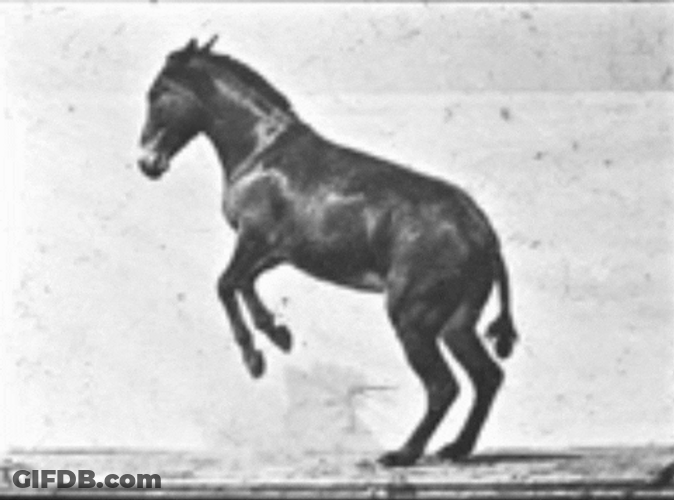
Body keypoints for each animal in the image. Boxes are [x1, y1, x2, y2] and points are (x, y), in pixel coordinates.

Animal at [137, 37, 519, 467]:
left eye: (158, 93)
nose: (147, 163)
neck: (261, 152)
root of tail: (482, 232)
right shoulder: (273, 252)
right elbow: (243, 283)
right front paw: (277, 334)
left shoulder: (253, 240)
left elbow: (224, 283)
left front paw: (255, 358)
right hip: (456, 325)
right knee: (487, 377)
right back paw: (456, 448)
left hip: (414, 320)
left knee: (443, 386)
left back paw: (403, 453)